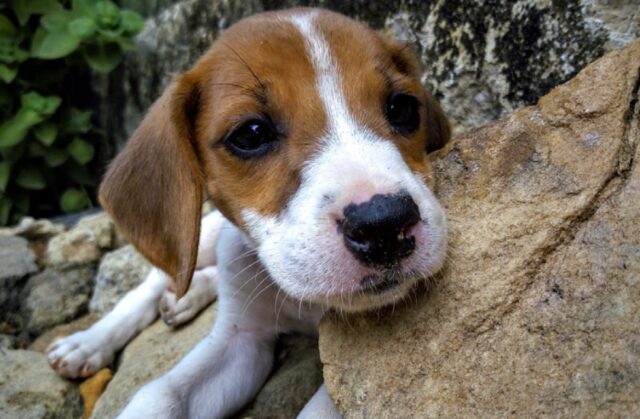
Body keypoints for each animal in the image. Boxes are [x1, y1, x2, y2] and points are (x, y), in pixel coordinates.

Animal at [46, 8, 450, 418]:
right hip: (209, 235)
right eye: (251, 133)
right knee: (160, 276)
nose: (383, 224)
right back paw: (89, 341)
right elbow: (159, 394)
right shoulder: (241, 342)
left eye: (402, 108)